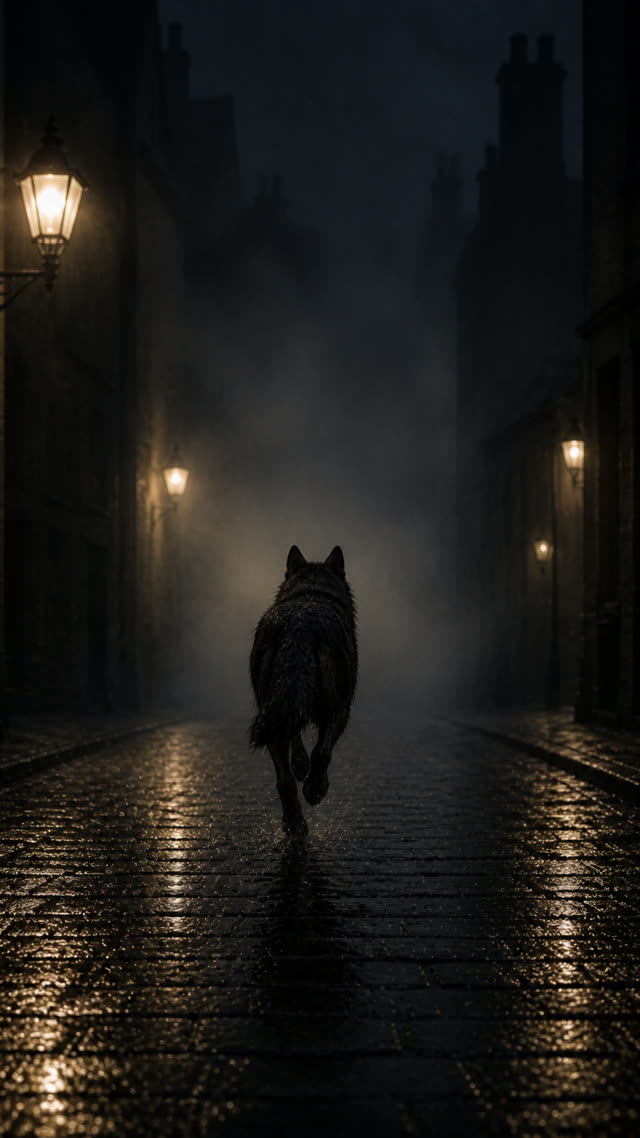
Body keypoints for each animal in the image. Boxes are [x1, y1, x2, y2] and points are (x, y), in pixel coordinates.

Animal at [249, 545, 358, 837]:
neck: (311, 590)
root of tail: (300, 624)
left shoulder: (285, 705)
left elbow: (296, 745)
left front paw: (300, 766)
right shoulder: (341, 710)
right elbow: (322, 750)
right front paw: (312, 781)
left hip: (269, 716)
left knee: (283, 781)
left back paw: (294, 824)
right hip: (337, 708)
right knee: (322, 753)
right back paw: (314, 791)